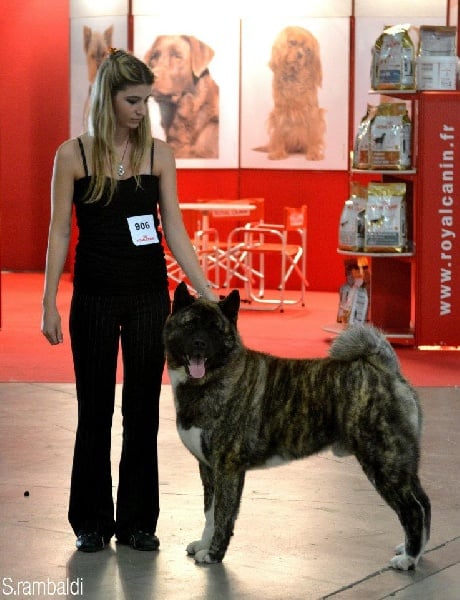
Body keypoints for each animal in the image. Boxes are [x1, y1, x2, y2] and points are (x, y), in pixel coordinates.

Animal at [163, 282, 431, 569]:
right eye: (190, 324)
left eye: (216, 329)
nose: (200, 344)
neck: (212, 378)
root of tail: (386, 370)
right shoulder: (208, 468)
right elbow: (210, 513)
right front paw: (203, 543)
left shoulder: (228, 467)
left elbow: (223, 515)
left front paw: (214, 554)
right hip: (401, 462)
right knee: (424, 503)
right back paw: (414, 550)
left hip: (384, 461)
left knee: (412, 509)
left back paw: (408, 559)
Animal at [257, 26, 326, 161]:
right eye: (293, 42)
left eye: (308, 51)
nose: (300, 54)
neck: (294, 78)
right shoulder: (280, 112)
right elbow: (279, 133)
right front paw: (278, 153)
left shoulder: (313, 112)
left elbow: (313, 135)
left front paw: (314, 153)